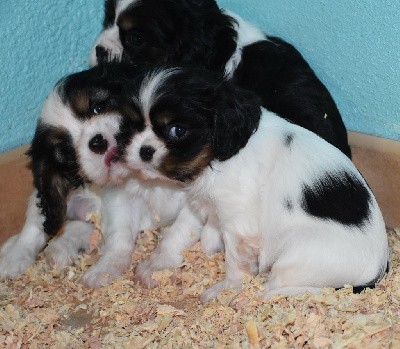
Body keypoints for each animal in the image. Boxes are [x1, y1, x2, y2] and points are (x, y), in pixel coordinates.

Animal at [120, 67, 390, 300]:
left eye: (177, 131)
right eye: (134, 125)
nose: (144, 151)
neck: (216, 159)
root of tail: (379, 269)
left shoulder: (239, 224)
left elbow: (236, 264)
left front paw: (225, 291)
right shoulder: (201, 201)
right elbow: (179, 231)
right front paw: (156, 265)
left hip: (296, 255)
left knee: (275, 287)